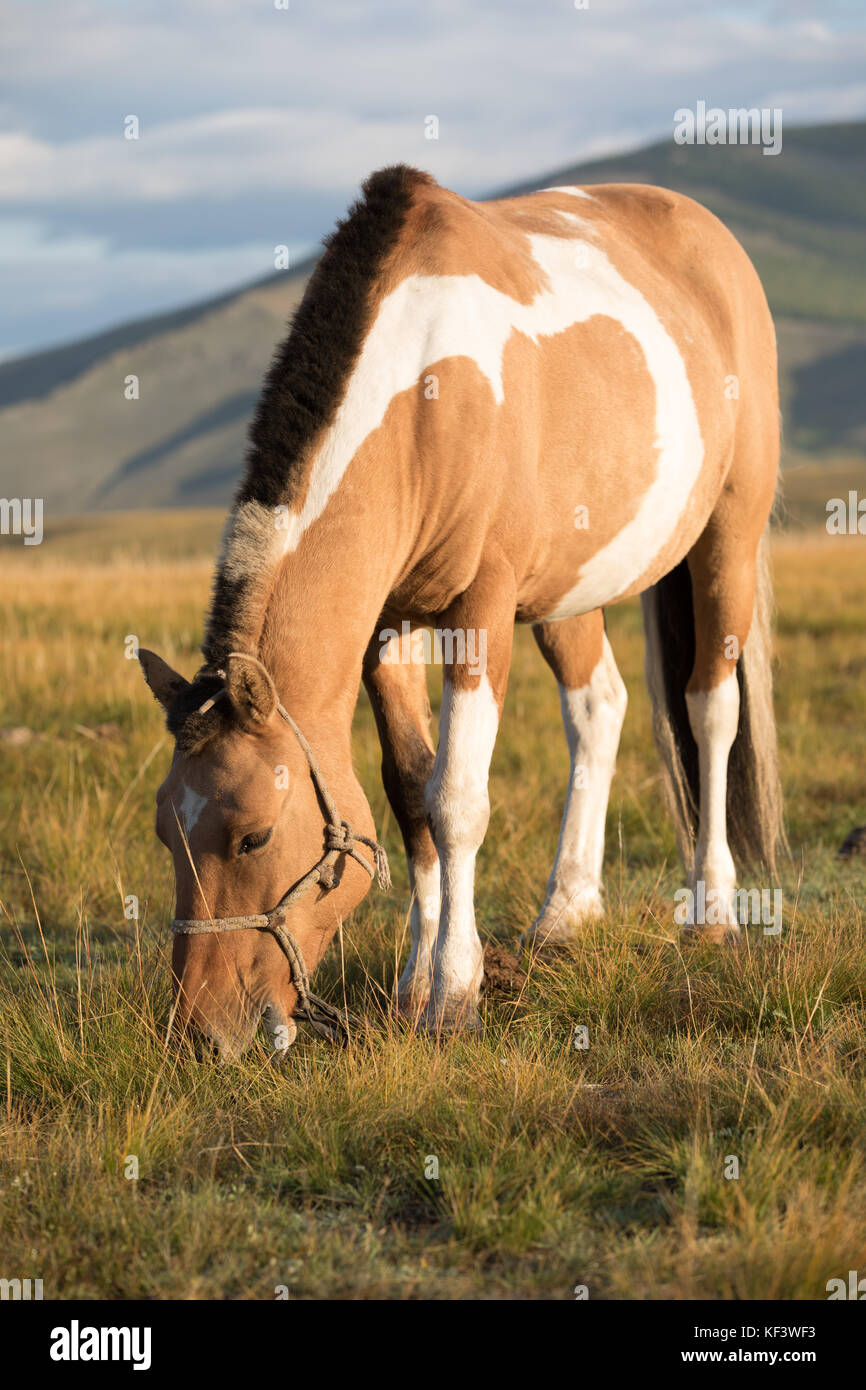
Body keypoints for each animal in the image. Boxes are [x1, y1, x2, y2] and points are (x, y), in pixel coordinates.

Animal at [139, 162, 783, 1050]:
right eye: (165, 831)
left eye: (254, 836)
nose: (200, 1032)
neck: (422, 391)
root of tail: (714, 240)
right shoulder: (388, 627)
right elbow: (411, 795)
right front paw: (414, 984)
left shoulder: (481, 610)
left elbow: (458, 802)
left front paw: (453, 992)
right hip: (568, 590)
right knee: (600, 708)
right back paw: (566, 913)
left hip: (728, 535)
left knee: (710, 711)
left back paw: (712, 910)